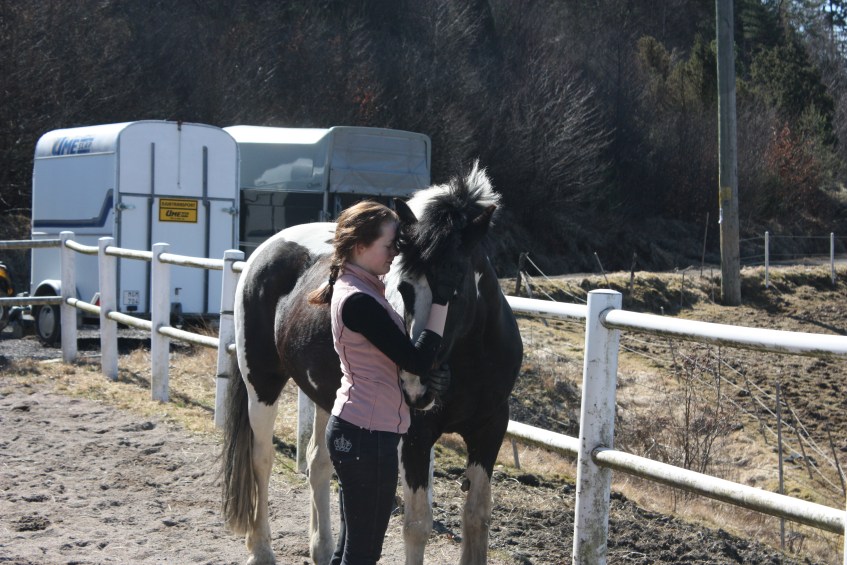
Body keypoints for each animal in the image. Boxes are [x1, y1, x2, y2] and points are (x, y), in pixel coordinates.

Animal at [220, 162, 524, 565]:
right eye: (404, 287)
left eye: (456, 284)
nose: (415, 385)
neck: (471, 359)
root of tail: (266, 250)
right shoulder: (416, 435)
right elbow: (417, 525)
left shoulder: (490, 429)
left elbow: (476, 518)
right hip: (262, 384)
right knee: (261, 460)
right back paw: (261, 550)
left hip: (326, 395)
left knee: (319, 463)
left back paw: (322, 548)